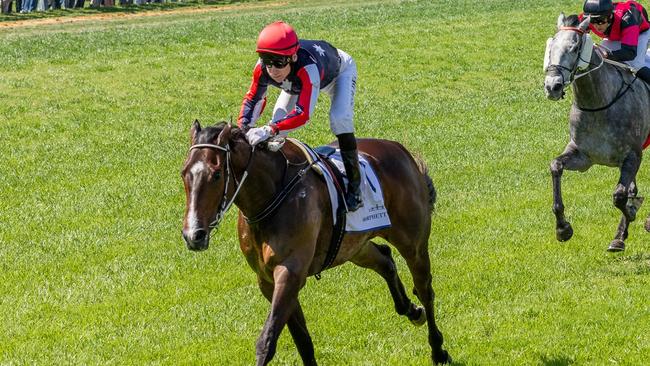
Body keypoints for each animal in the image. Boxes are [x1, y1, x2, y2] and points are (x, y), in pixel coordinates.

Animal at [180, 121, 448, 364]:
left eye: (216, 174)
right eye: (184, 173)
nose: (194, 234)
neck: (269, 197)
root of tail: (400, 150)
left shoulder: (290, 273)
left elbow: (267, 341)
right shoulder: (268, 280)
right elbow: (302, 340)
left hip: (412, 243)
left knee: (425, 288)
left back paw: (438, 349)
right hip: (354, 246)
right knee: (384, 259)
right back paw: (411, 310)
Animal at [540, 13, 648, 252]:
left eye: (574, 47)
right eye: (551, 46)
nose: (552, 86)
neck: (599, 103)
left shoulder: (633, 155)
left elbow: (619, 196)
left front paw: (633, 211)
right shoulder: (583, 157)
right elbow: (555, 166)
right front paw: (563, 229)